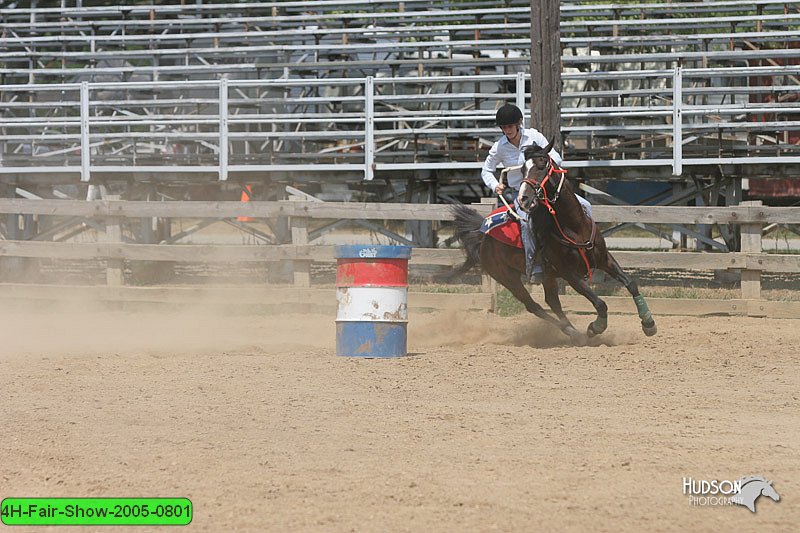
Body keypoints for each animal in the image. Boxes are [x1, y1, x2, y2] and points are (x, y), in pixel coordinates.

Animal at [446, 141, 660, 340]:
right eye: (522, 169)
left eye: (542, 165)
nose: (524, 199)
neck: (574, 227)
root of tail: (483, 235)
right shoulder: (569, 273)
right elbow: (600, 303)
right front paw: (595, 327)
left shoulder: (604, 259)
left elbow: (631, 283)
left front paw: (648, 323)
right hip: (507, 277)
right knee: (533, 306)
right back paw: (572, 332)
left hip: (547, 276)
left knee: (552, 301)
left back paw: (572, 331)